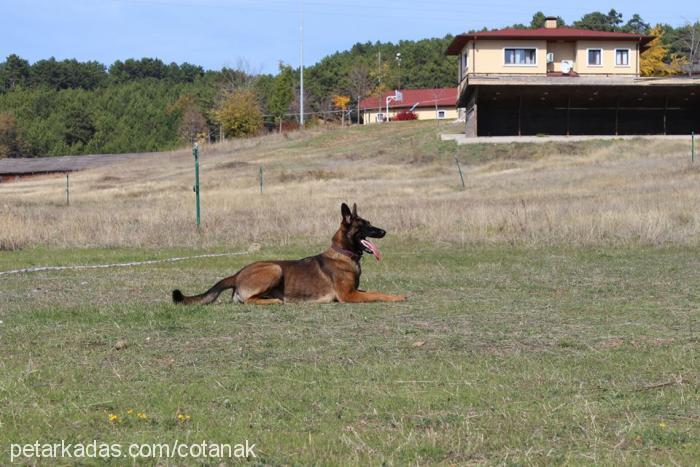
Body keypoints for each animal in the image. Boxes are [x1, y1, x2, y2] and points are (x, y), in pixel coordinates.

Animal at [172, 203, 408, 306]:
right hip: (275, 268)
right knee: (248, 300)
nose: (384, 232)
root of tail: (237, 274)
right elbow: (377, 294)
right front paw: (397, 296)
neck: (343, 254)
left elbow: (375, 290)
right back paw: (273, 301)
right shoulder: (348, 295)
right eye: (366, 225)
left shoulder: (355, 290)